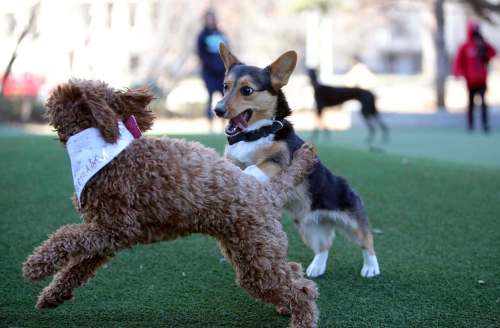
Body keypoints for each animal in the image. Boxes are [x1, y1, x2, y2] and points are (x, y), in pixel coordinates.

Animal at [21, 79, 318, 328]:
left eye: (61, 94)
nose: (47, 96)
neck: (106, 149)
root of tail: (268, 190)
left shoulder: (117, 226)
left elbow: (66, 236)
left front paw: (36, 265)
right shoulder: (106, 235)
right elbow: (78, 266)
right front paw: (53, 295)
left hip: (255, 256)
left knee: (302, 291)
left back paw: (302, 318)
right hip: (256, 249)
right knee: (294, 272)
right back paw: (285, 306)